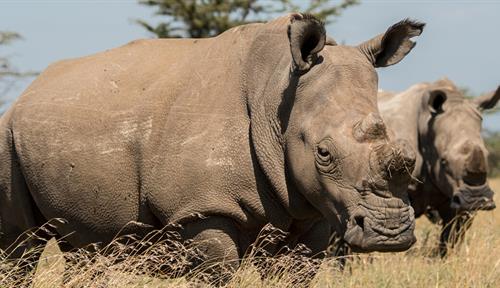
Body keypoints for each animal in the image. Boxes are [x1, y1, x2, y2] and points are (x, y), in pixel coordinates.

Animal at [0, 13, 422, 274]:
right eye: (324, 154)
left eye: (404, 152)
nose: (390, 233)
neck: (278, 97)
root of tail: (31, 89)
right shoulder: (202, 208)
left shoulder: (314, 211)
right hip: (7, 135)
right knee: (19, 246)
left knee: (90, 250)